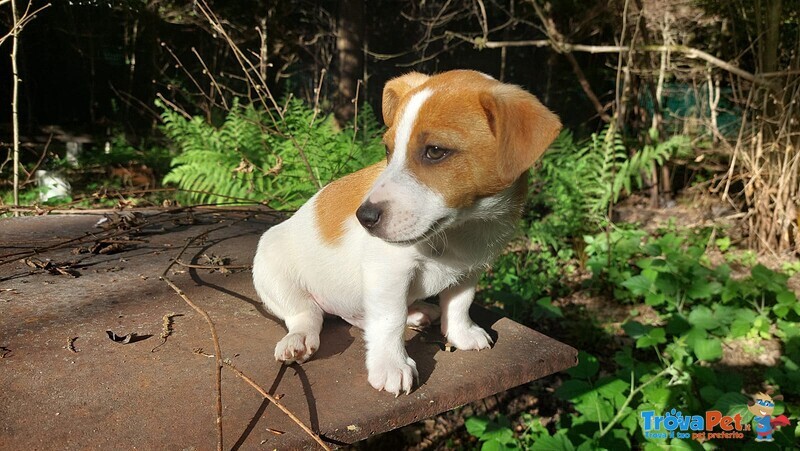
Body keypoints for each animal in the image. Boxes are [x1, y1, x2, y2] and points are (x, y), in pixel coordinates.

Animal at [253, 69, 560, 396]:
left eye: (435, 151)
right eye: (388, 150)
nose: (364, 217)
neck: (462, 228)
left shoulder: (470, 269)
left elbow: (459, 303)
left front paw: (461, 333)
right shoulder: (389, 271)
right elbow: (390, 320)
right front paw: (391, 365)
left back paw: (418, 312)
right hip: (275, 273)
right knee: (307, 315)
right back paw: (299, 340)